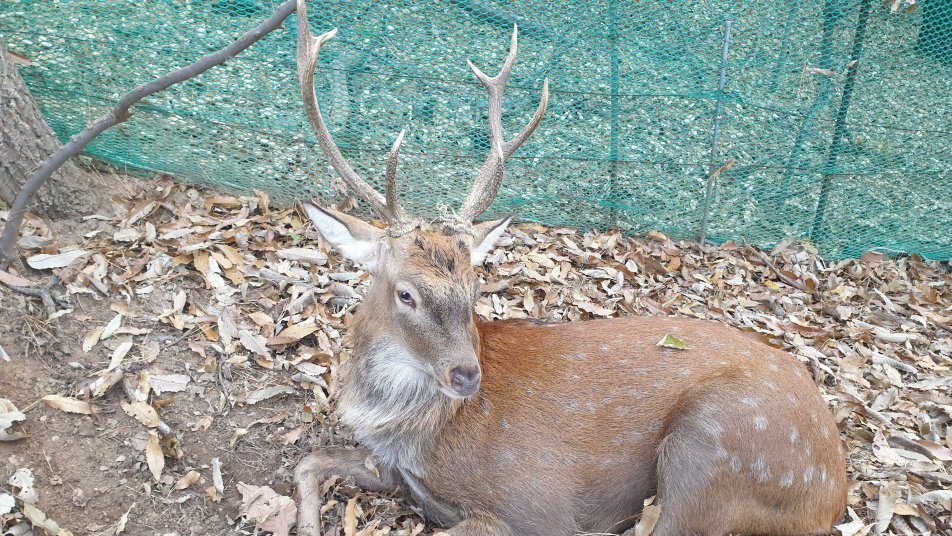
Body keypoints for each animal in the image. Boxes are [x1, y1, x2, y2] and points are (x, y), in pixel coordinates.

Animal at [290, 2, 848, 532]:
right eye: (406, 293)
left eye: (475, 290)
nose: (468, 375)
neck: (413, 432)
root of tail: (835, 490)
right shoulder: (394, 471)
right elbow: (307, 462)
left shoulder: (534, 506)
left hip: (717, 442)